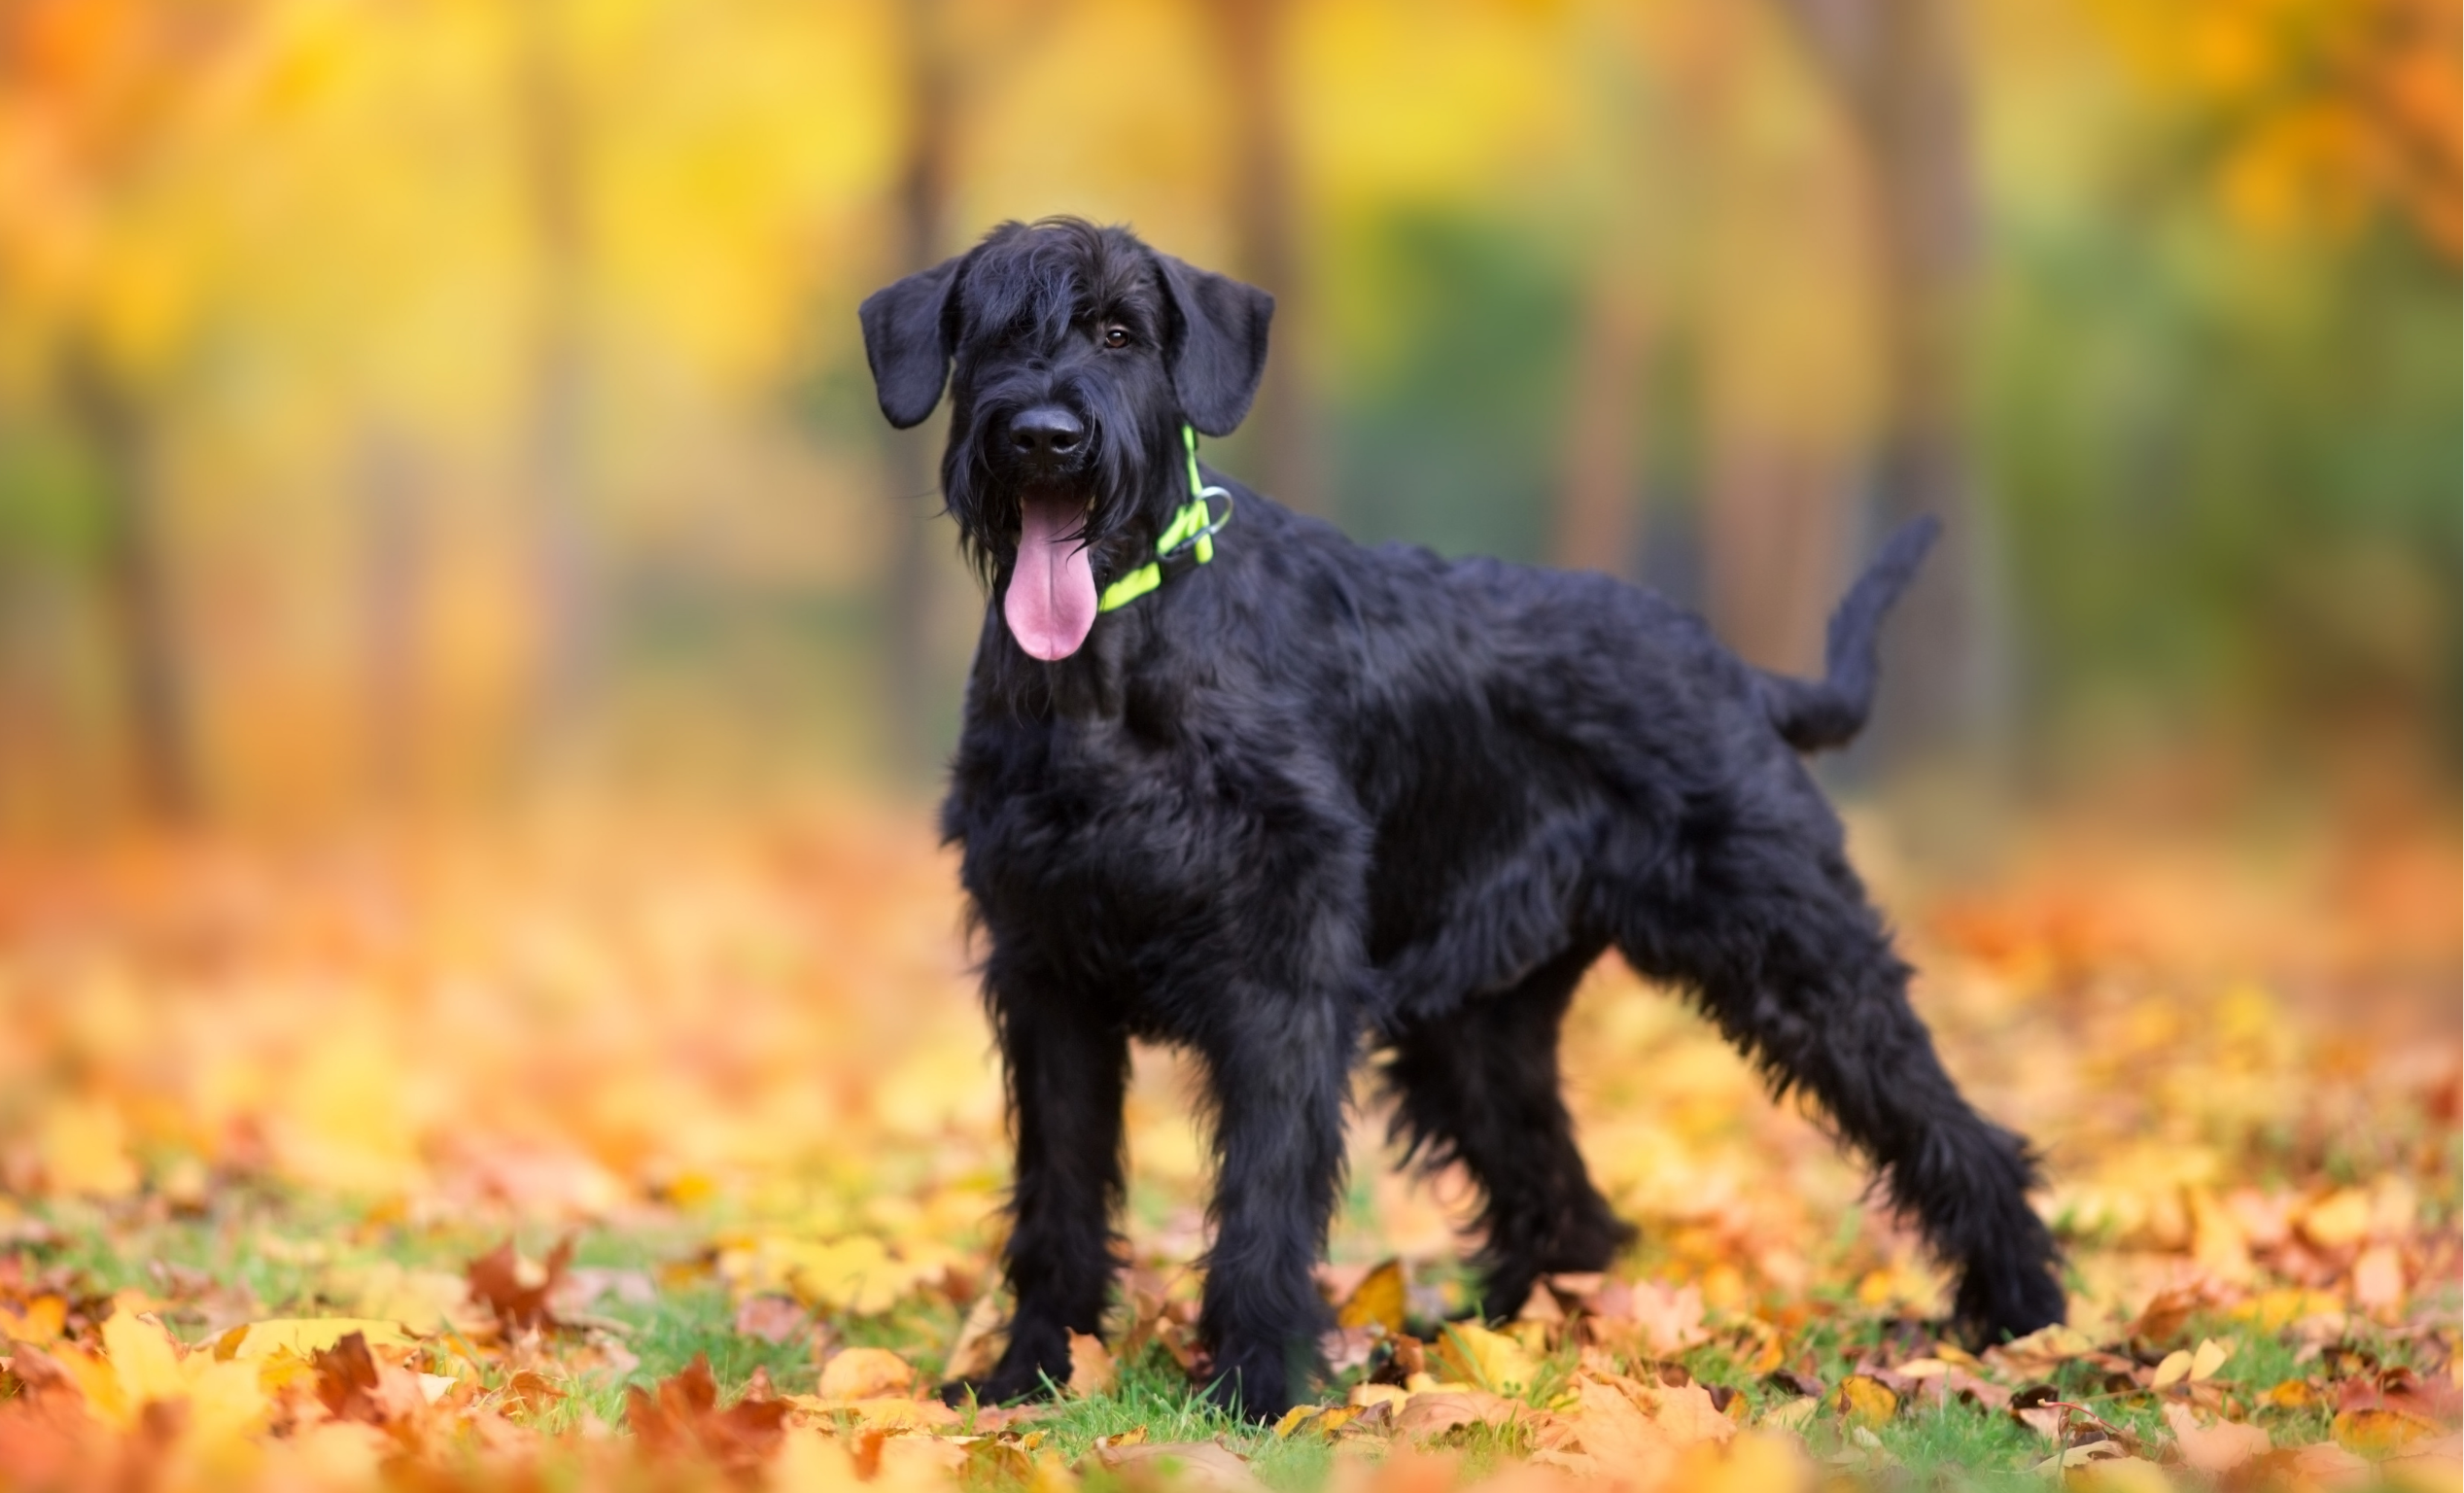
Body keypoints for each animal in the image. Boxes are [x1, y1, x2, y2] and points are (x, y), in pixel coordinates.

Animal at [857, 217, 2069, 1418]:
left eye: (1118, 332)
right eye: (993, 331)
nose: (1045, 438)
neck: (1110, 671)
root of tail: (1737, 671)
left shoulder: (1280, 983)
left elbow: (1263, 1197)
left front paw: (1255, 1392)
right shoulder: (1046, 976)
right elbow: (1056, 1193)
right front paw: (1027, 1377)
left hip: (1799, 954)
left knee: (1954, 1132)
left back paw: (2025, 1321)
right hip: (1475, 1030)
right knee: (1562, 1199)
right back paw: (1505, 1346)